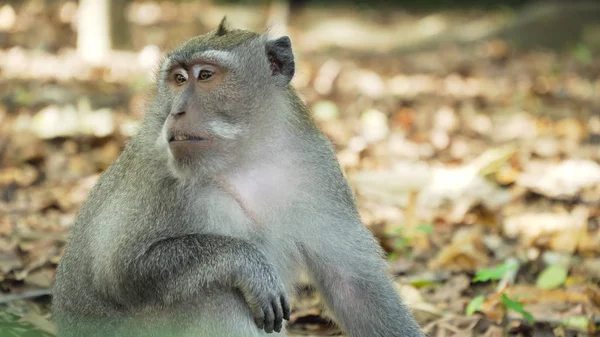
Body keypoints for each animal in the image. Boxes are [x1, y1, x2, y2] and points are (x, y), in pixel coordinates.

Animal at [52, 17, 426, 336]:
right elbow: (118, 271)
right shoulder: (157, 178)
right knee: (215, 294)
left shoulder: (317, 165)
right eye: (178, 79)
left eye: (205, 75)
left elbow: (354, 287)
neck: (245, 157)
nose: (176, 111)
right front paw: (246, 262)